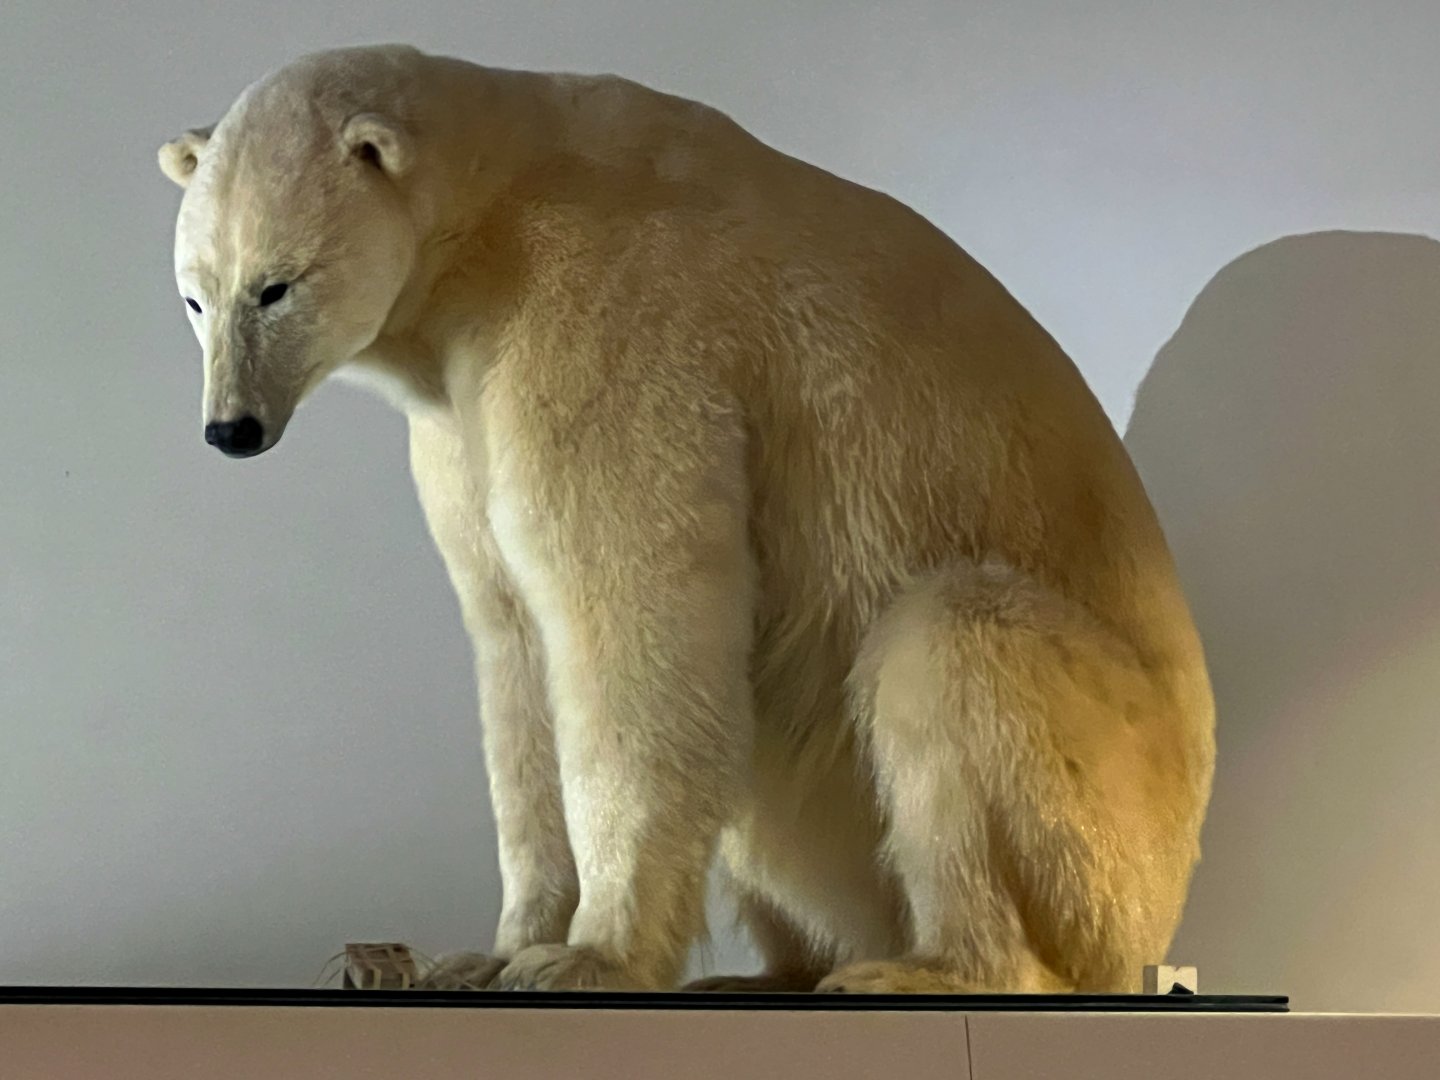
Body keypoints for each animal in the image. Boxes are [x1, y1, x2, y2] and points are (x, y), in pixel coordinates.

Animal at [159, 44, 1215, 994]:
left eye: (276, 285)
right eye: (194, 297)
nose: (230, 429)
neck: (491, 217)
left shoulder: (606, 326)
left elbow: (630, 618)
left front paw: (586, 957)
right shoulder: (458, 421)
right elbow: (512, 649)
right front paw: (487, 953)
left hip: (1117, 819)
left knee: (951, 646)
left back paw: (926, 968)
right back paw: (771, 972)